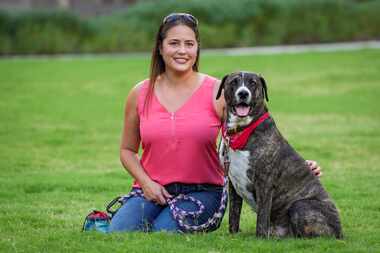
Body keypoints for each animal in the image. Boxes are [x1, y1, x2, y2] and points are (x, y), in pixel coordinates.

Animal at [217, 71, 344, 239]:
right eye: (234, 82)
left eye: (253, 83)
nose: (243, 93)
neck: (241, 130)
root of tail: (340, 232)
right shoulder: (233, 183)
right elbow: (234, 214)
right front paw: (233, 235)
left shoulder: (264, 183)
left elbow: (262, 217)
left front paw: (260, 238)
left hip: (300, 205)